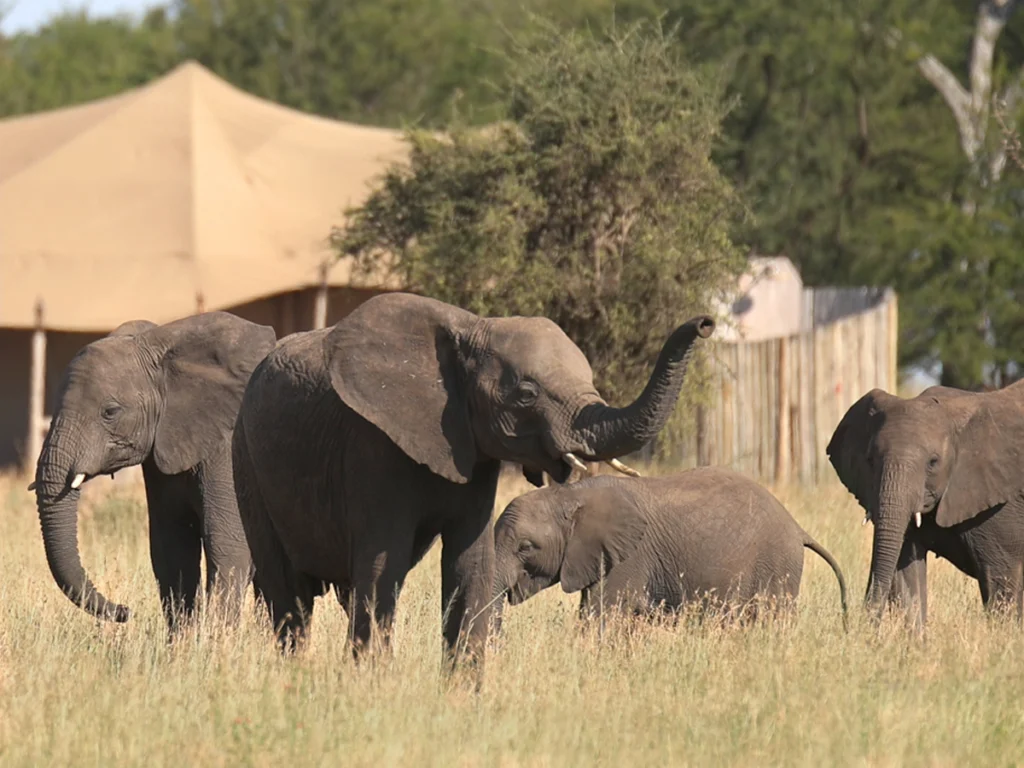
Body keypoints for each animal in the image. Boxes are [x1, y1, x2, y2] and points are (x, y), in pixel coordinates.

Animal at [33, 311, 278, 630]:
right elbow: (171, 546)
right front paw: (183, 641)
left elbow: (227, 544)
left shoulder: (228, 447)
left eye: (110, 412)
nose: (125, 611)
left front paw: (216, 639)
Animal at [230, 290, 712, 671]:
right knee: (291, 596)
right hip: (246, 459)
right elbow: (382, 566)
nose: (705, 322)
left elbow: (470, 562)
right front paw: (372, 688)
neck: (472, 329)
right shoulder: (371, 445)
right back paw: (295, 679)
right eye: (527, 395)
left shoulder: (475, 454)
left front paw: (462, 694)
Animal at [491, 462, 843, 626]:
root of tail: (798, 528)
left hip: (776, 565)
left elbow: (598, 617)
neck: (570, 495)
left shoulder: (627, 560)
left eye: (525, 547)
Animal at [827, 382, 1024, 626]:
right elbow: (906, 573)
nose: (858, 625)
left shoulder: (1000, 505)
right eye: (870, 461)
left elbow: (1001, 579)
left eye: (933, 462)